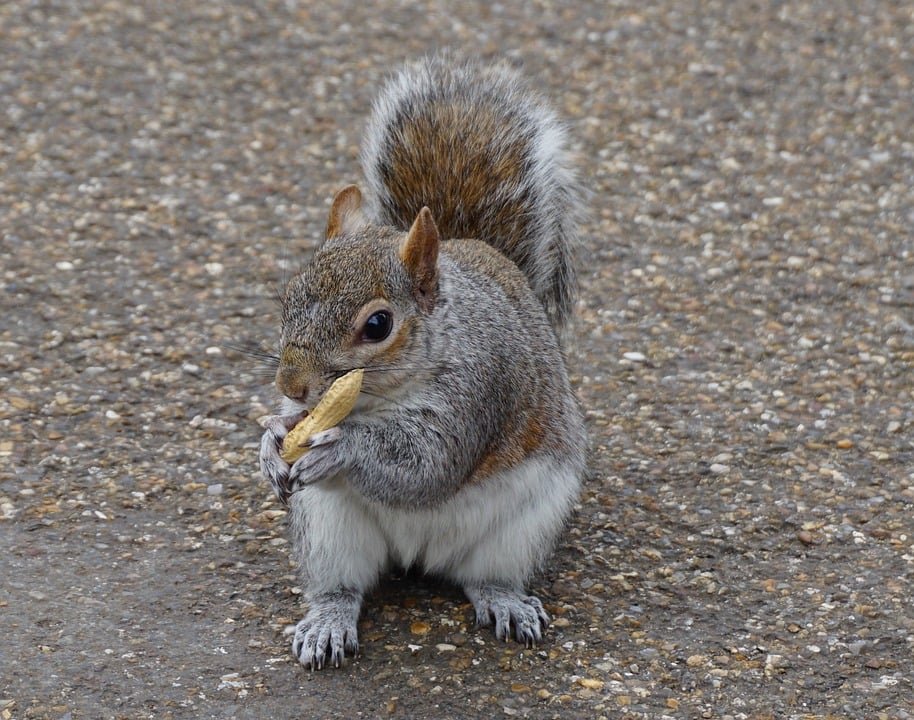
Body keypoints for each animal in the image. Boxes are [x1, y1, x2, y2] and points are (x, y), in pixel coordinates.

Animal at [256, 54, 584, 668]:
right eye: (288, 297)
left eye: (378, 325)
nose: (292, 384)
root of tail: (417, 554)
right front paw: (272, 440)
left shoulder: (480, 388)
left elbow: (428, 466)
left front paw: (340, 449)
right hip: (329, 530)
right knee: (343, 585)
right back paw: (328, 621)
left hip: (521, 528)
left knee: (486, 576)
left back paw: (505, 601)